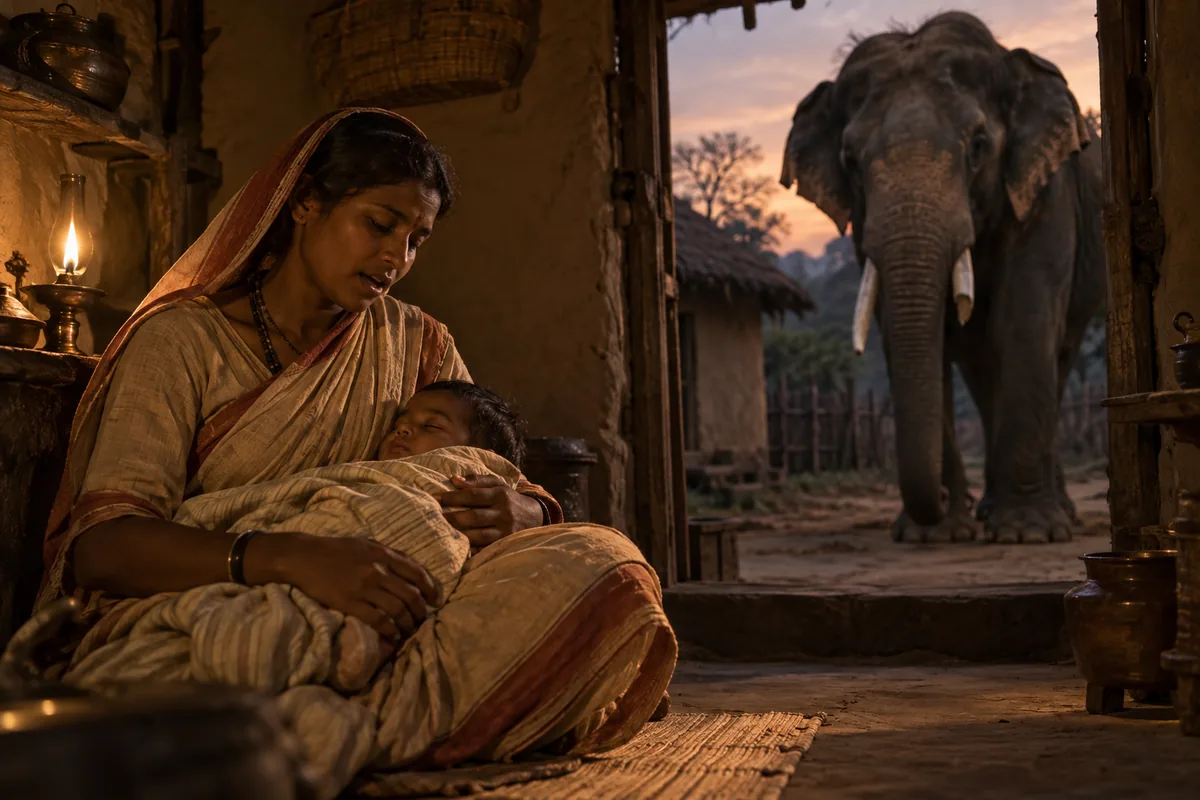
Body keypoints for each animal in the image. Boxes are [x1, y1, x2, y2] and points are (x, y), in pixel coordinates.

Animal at [779, 12, 1105, 544]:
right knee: (982, 368)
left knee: (1054, 353)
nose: (949, 502)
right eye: (849, 160)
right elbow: (898, 333)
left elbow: (1025, 320)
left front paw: (1026, 534)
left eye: (978, 146)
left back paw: (1049, 516)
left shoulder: (1043, 192)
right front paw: (934, 537)